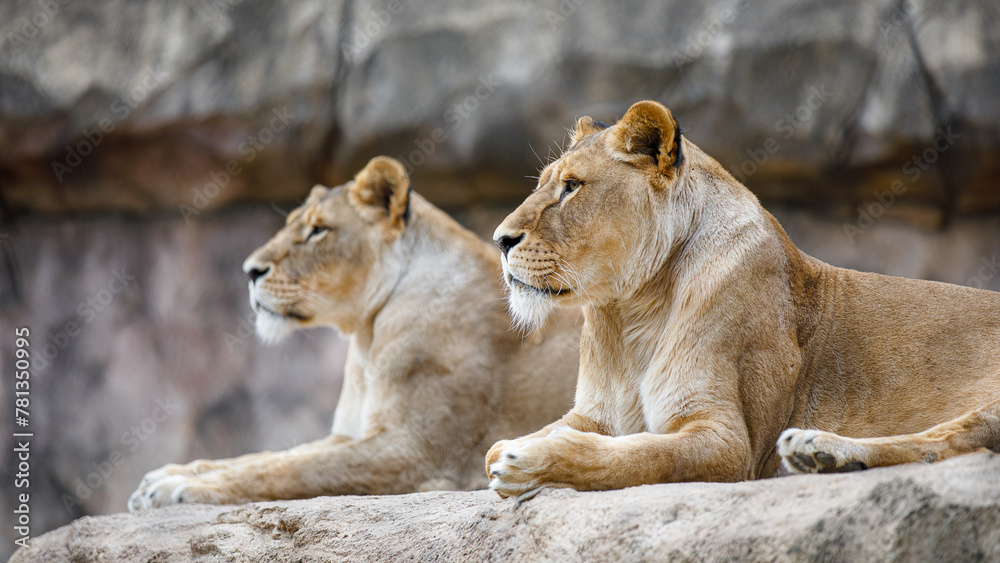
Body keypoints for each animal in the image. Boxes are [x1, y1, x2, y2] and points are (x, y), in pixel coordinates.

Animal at [128, 156, 580, 510]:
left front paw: (178, 487)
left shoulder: (414, 453)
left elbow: (292, 470)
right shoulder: (348, 433)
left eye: (318, 230)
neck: (367, 337)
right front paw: (165, 476)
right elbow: (266, 456)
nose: (249, 271)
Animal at [485, 100, 1000, 500]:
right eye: (542, 183)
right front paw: (510, 450)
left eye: (572, 186)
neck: (630, 312)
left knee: (952, 442)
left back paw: (819, 451)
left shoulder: (730, 441)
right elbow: (538, 436)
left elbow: (640, 455)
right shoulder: (593, 413)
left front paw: (527, 459)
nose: (500, 240)